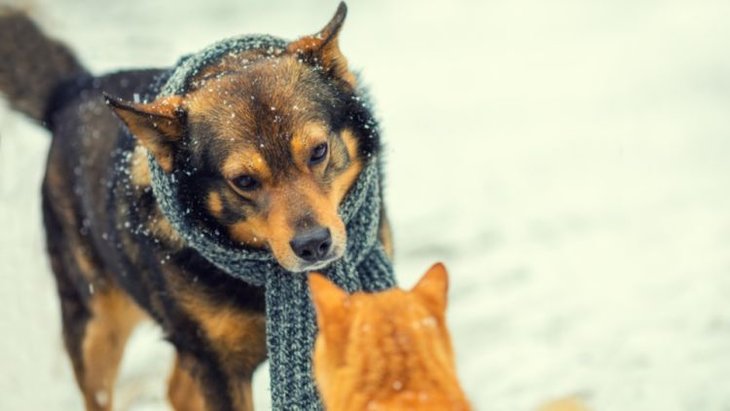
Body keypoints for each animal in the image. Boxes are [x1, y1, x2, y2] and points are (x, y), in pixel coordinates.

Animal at [0, 4, 392, 411]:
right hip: (96, 328)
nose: (314, 244)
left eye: (318, 151)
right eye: (244, 181)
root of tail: (74, 90)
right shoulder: (218, 367)